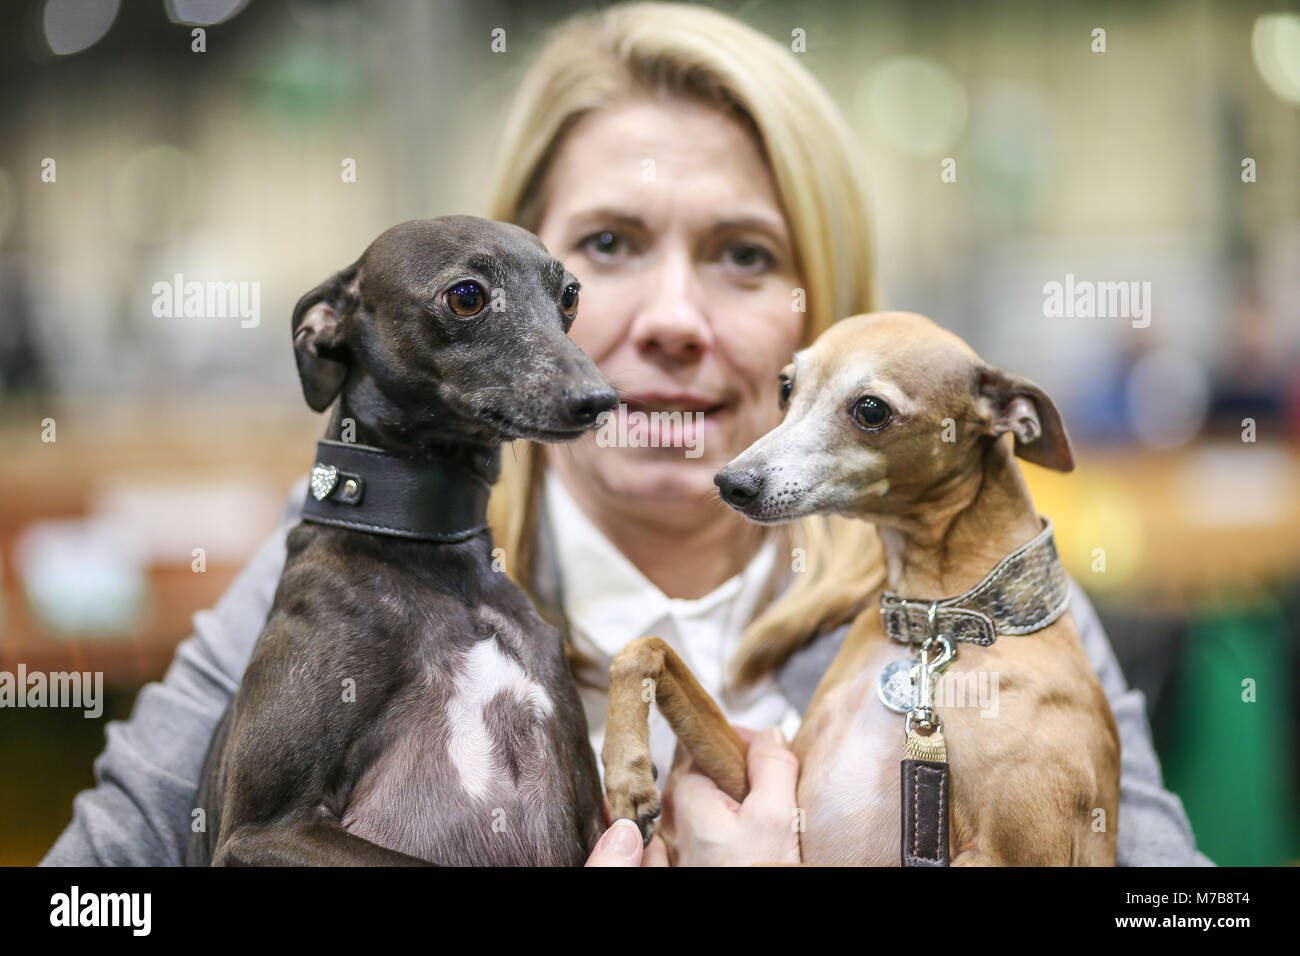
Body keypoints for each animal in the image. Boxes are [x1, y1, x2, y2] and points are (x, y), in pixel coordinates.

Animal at [185, 218, 616, 868]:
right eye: (466, 296)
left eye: (569, 295)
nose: (600, 400)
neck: (434, 553)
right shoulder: (260, 832)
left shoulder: (594, 811)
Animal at [603, 314, 1123, 868]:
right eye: (786, 387)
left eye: (871, 410)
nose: (731, 483)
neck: (937, 621)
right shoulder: (760, 774)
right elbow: (646, 649)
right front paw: (625, 775)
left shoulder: (1016, 854)